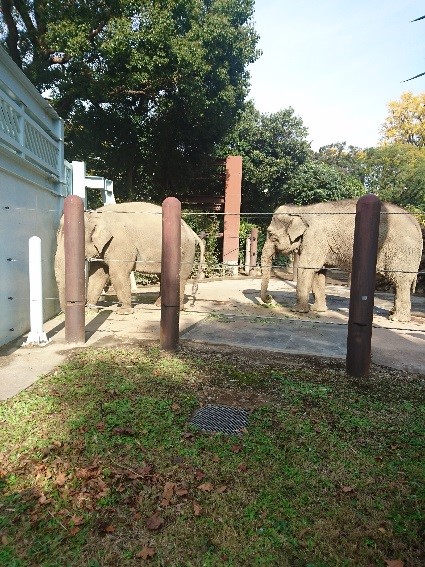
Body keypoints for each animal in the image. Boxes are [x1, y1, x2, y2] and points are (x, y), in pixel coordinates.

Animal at [55, 202, 205, 313]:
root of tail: (191, 230)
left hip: (184, 250)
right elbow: (97, 274)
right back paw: (158, 305)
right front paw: (90, 310)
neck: (97, 215)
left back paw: (177, 308)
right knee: (164, 276)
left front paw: (123, 311)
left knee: (179, 277)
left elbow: (117, 273)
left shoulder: (119, 242)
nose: (64, 312)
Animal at [260, 199, 423, 322]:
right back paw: (392, 313)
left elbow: (307, 268)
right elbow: (319, 272)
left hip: (401, 250)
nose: (269, 298)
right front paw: (318, 310)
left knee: (400, 280)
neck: (302, 210)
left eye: (271, 234)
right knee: (398, 282)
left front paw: (297, 311)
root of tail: (416, 222)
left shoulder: (316, 237)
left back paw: (397, 319)